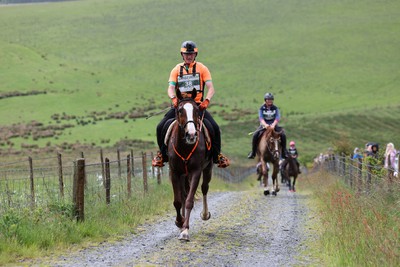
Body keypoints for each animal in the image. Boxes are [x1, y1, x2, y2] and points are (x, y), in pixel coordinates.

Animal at [168, 89, 214, 242]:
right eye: (180, 110)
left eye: (197, 111)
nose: (192, 134)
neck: (185, 147)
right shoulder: (174, 172)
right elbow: (178, 201)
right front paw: (179, 222)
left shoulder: (196, 172)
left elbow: (189, 201)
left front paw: (185, 231)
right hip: (183, 175)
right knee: (182, 194)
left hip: (208, 168)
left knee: (204, 188)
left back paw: (205, 214)